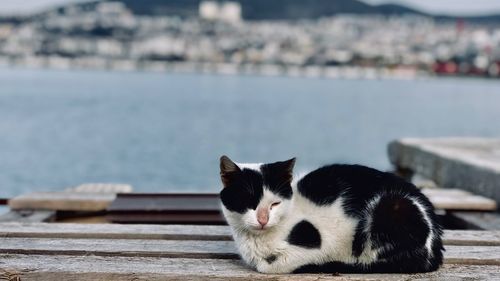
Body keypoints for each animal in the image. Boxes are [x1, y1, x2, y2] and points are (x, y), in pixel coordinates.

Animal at [218, 154, 442, 272]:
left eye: (275, 203)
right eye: (248, 202)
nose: (263, 219)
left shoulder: (319, 246)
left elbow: (269, 266)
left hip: (391, 206)